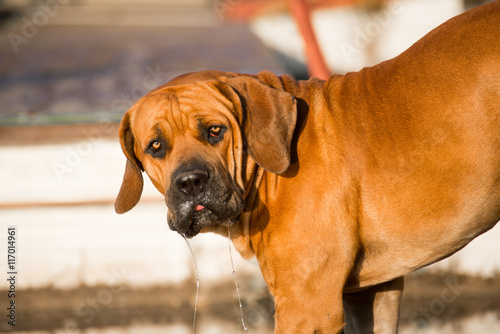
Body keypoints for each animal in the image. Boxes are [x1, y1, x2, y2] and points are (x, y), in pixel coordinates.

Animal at [114, 1, 500, 332]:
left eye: (214, 131)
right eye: (156, 146)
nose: (190, 182)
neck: (265, 179)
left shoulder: (306, 306)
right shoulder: (372, 293)